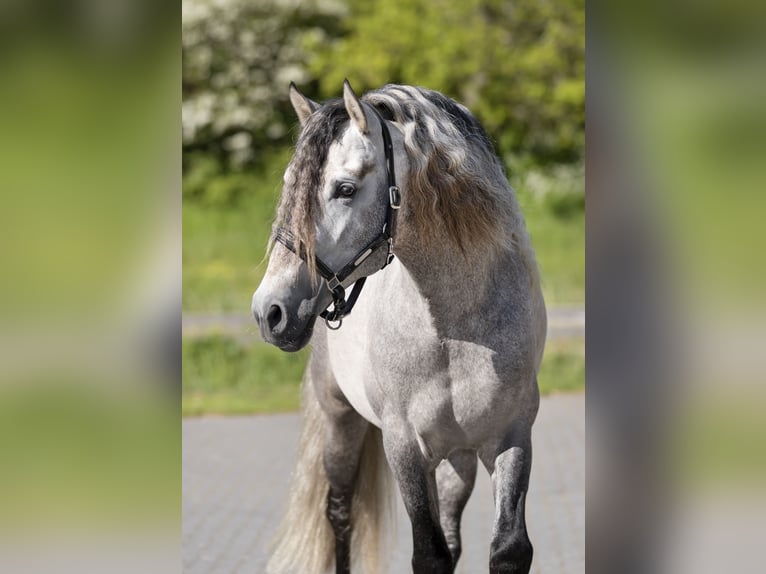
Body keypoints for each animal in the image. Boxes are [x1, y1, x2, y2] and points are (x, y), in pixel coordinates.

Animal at [252, 81, 544, 574]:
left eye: (345, 188)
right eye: (291, 185)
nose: (269, 312)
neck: (454, 327)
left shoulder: (512, 436)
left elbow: (506, 547)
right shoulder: (405, 447)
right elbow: (428, 553)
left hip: (457, 457)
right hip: (341, 422)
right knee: (340, 514)